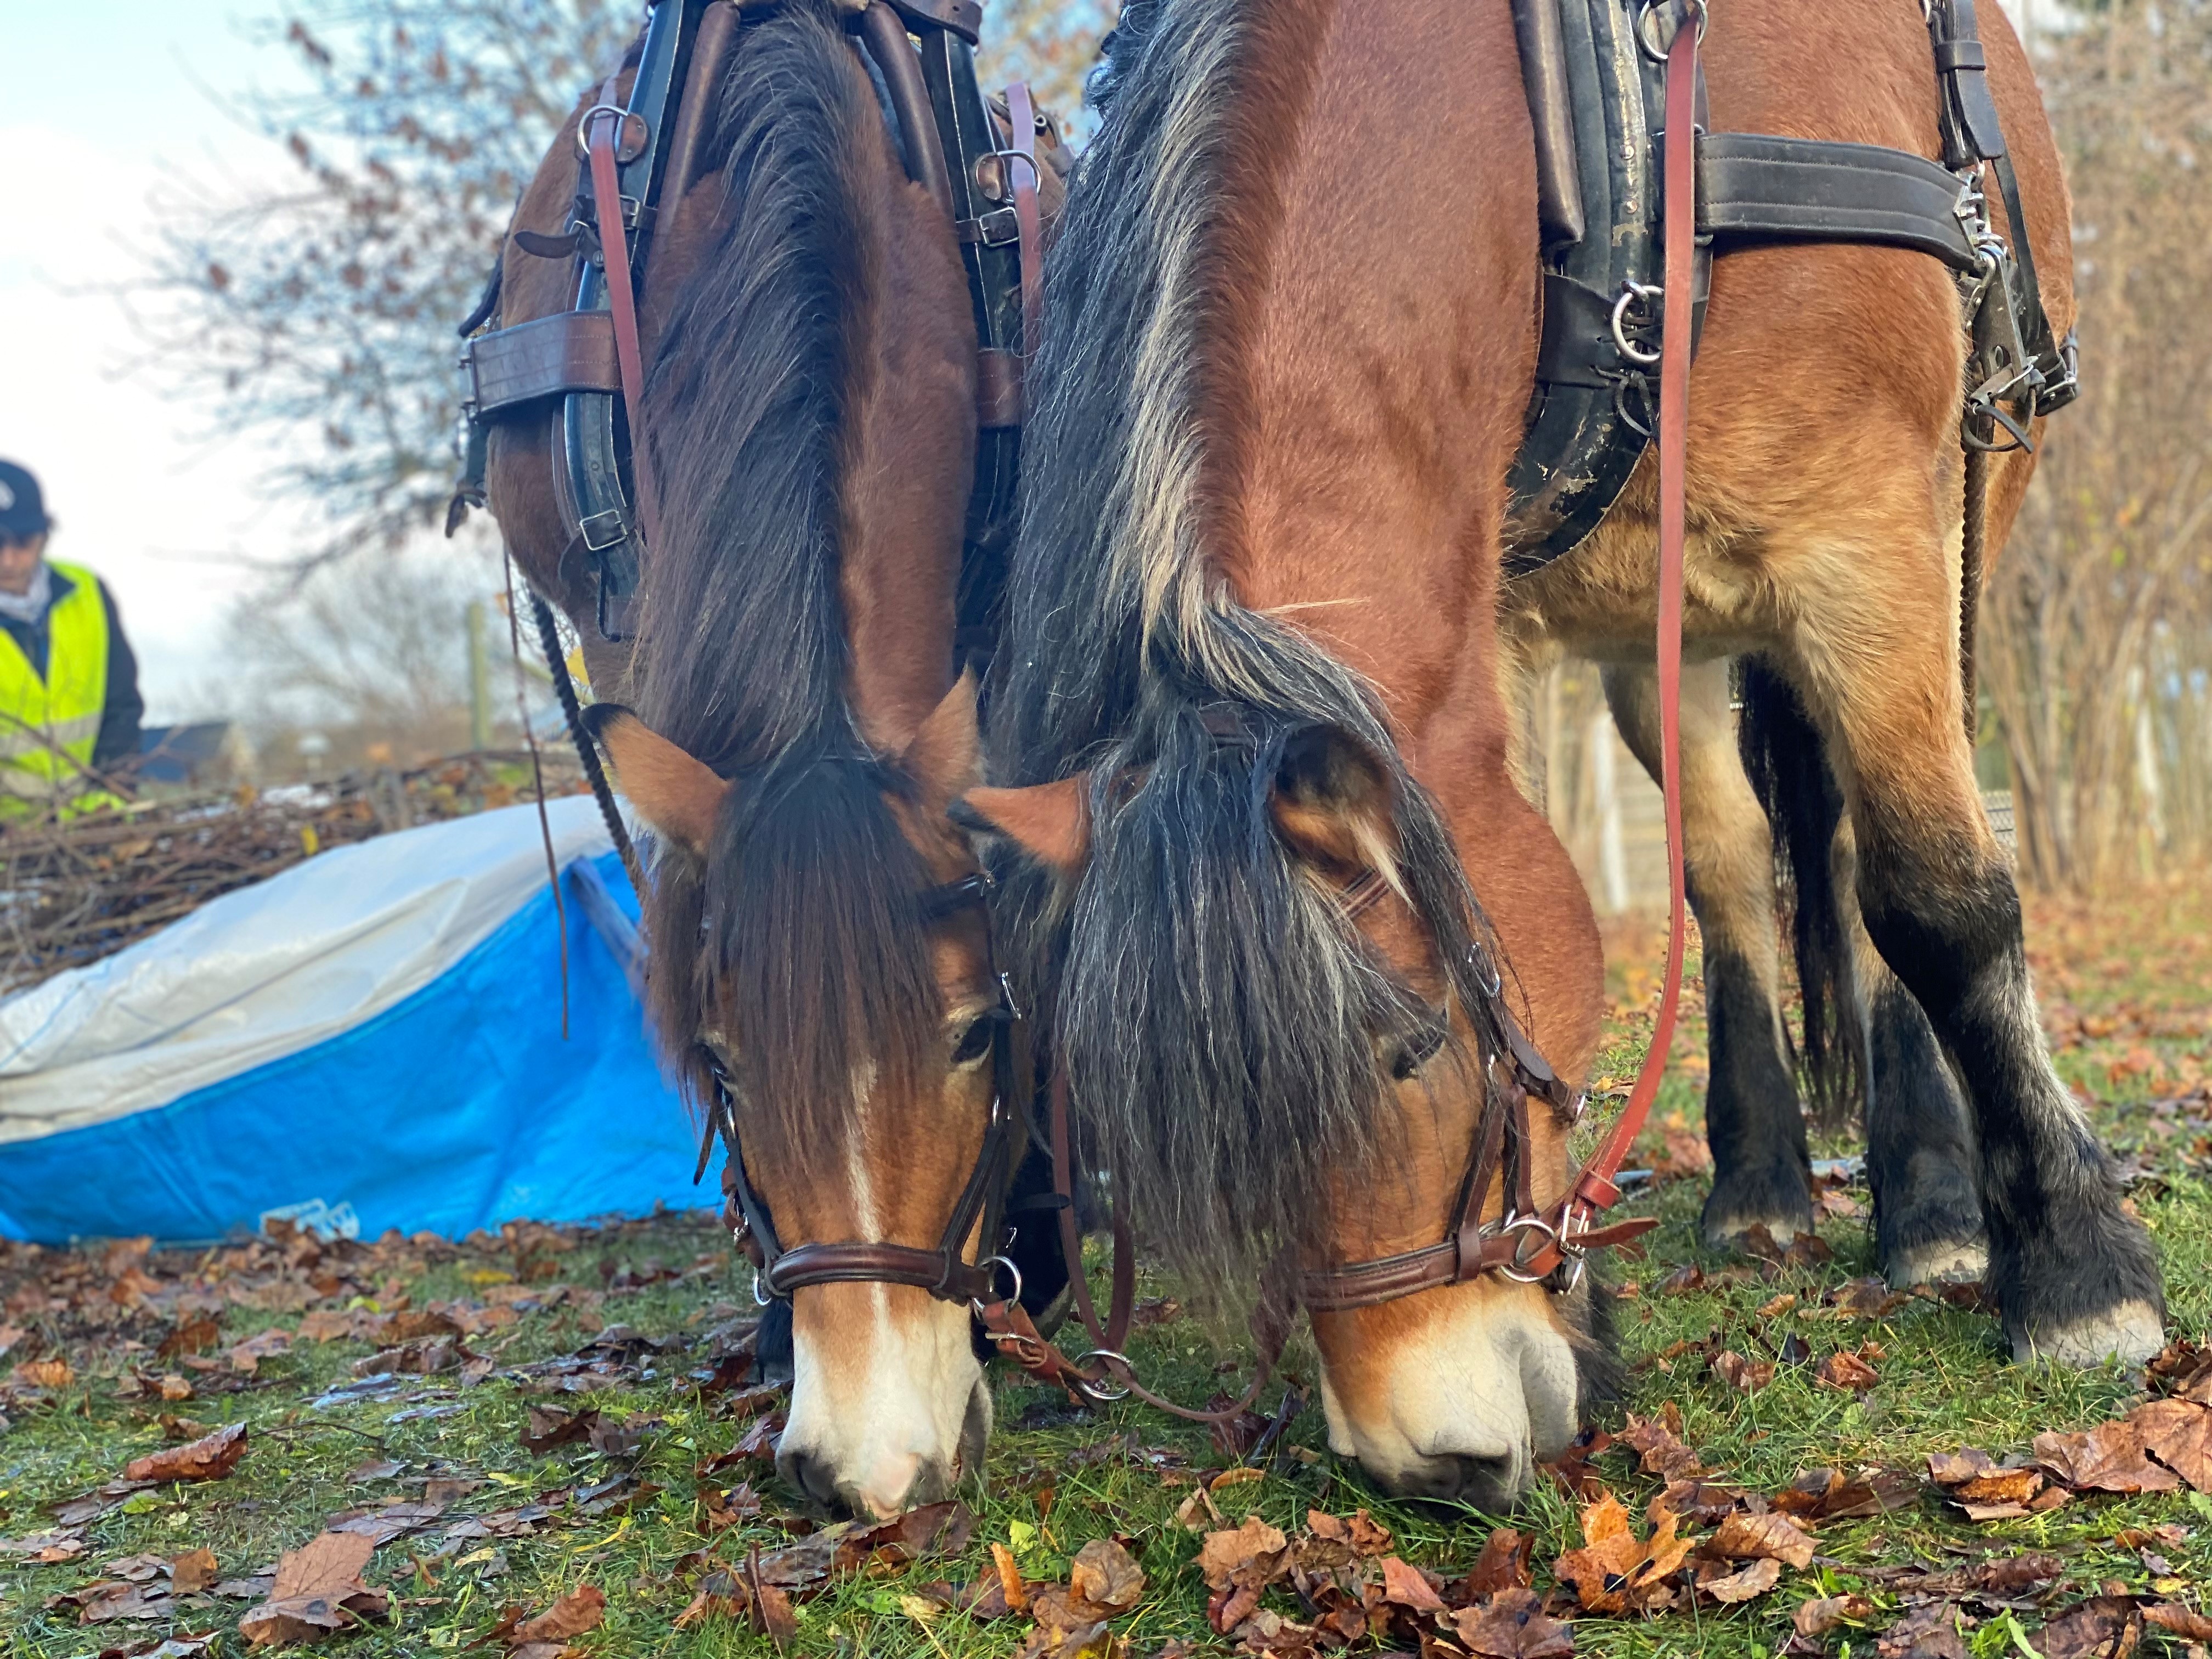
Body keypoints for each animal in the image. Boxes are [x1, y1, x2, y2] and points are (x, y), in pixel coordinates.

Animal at [963, 0, 2162, 1508]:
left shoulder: (1876, 540)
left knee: (1872, 861)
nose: (1425, 1460)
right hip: (1673, 636)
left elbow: (1941, 902)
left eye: (1412, 1053)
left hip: (1953, 536)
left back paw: (1934, 1198)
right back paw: (1761, 1190)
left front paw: (2075, 1271)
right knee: (1730, 869)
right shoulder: (1516, 623)